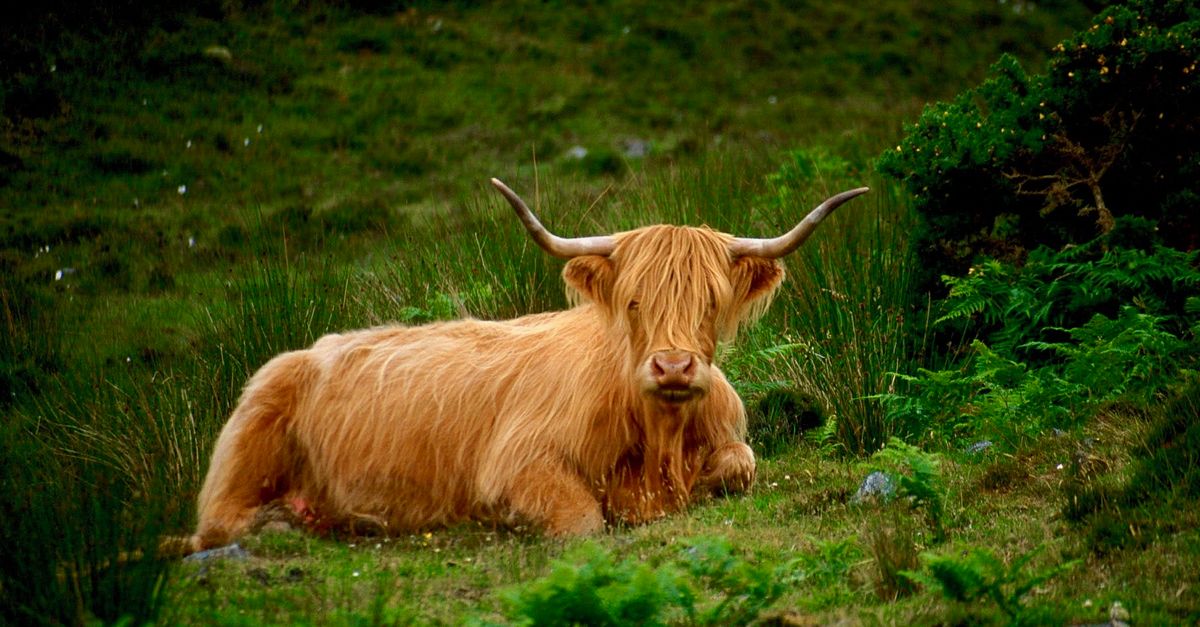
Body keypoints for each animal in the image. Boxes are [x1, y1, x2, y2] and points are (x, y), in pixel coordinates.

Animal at [189, 178, 868, 550]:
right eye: (633, 301)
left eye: (710, 302)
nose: (674, 368)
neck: (658, 440)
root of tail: (306, 349)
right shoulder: (517, 463)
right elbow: (583, 520)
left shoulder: (728, 441)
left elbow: (739, 466)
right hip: (248, 443)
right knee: (217, 525)